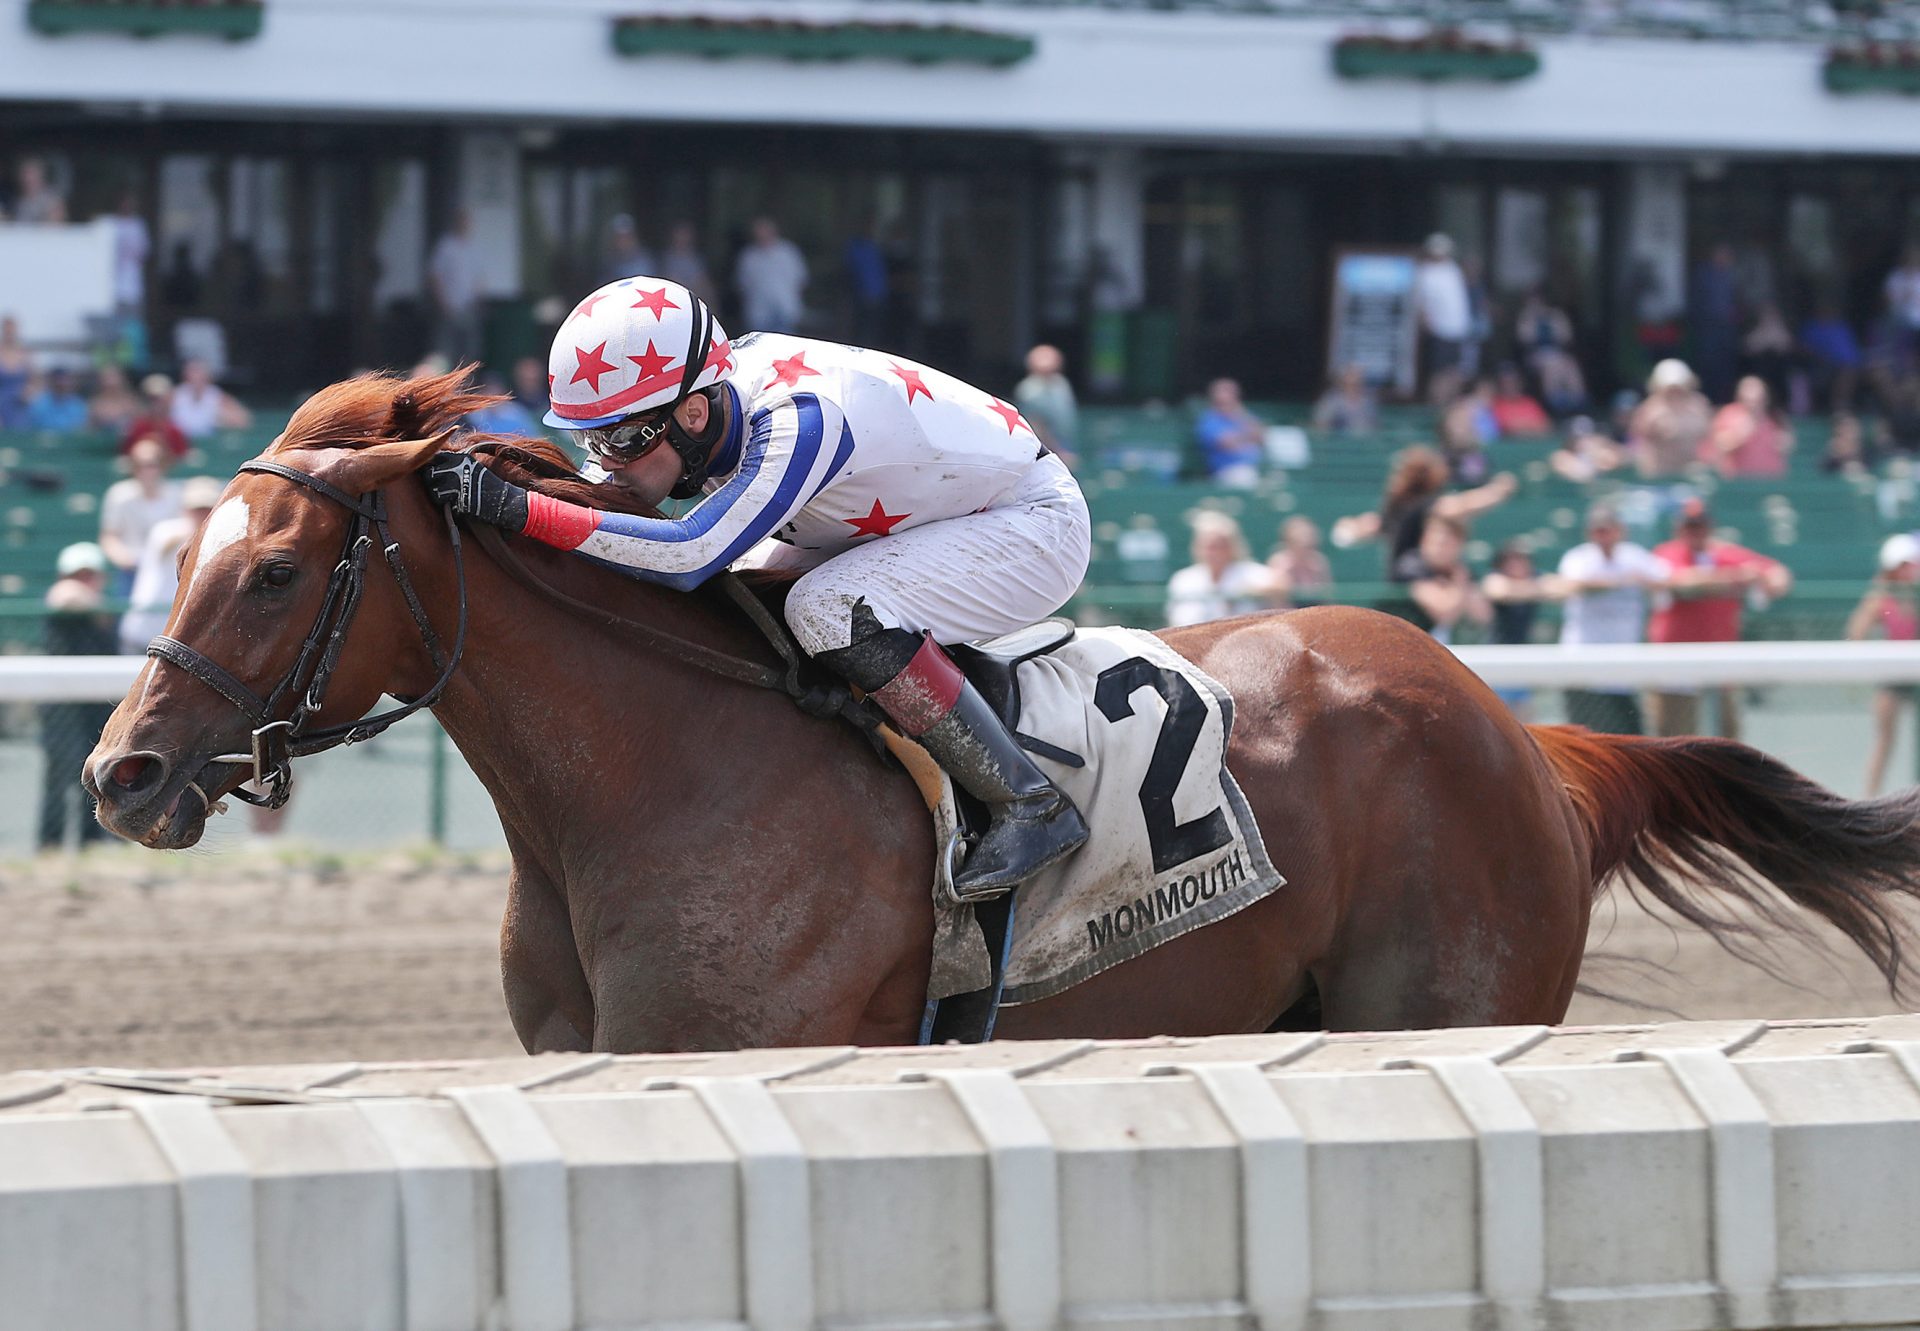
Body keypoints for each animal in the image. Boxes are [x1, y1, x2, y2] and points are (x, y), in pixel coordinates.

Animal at [82, 370, 1920, 1052]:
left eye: (271, 571)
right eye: (182, 547)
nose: (120, 771)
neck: (650, 785)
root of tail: (1516, 726)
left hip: (1439, 1000)